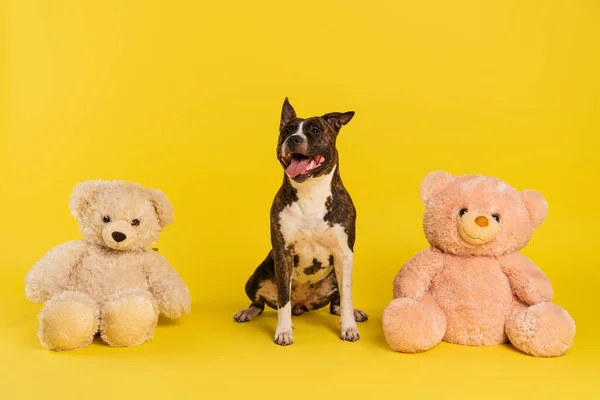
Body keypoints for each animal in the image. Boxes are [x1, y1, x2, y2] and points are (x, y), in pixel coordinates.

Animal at [233, 98, 366, 346]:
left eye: (314, 130)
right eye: (285, 131)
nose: (293, 139)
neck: (310, 191)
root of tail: (302, 305)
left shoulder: (344, 253)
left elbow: (347, 296)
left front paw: (349, 327)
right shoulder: (283, 253)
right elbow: (283, 300)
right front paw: (284, 331)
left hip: (334, 276)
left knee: (337, 303)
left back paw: (354, 313)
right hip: (256, 277)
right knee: (261, 302)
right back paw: (248, 312)